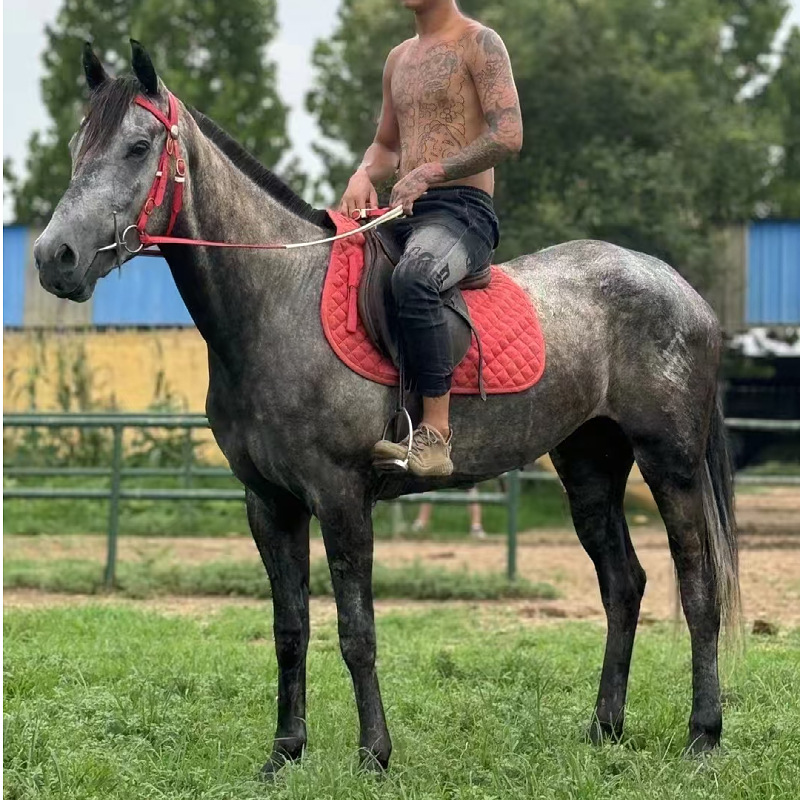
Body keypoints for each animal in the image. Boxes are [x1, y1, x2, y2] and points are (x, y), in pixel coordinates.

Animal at [34, 41, 739, 775]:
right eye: (78, 146)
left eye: (138, 147)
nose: (55, 257)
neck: (276, 302)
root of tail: (680, 288)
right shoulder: (268, 503)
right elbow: (290, 628)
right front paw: (285, 752)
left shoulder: (341, 496)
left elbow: (356, 632)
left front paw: (373, 752)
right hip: (590, 464)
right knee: (623, 584)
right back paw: (605, 728)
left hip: (670, 464)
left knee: (698, 587)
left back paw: (703, 734)